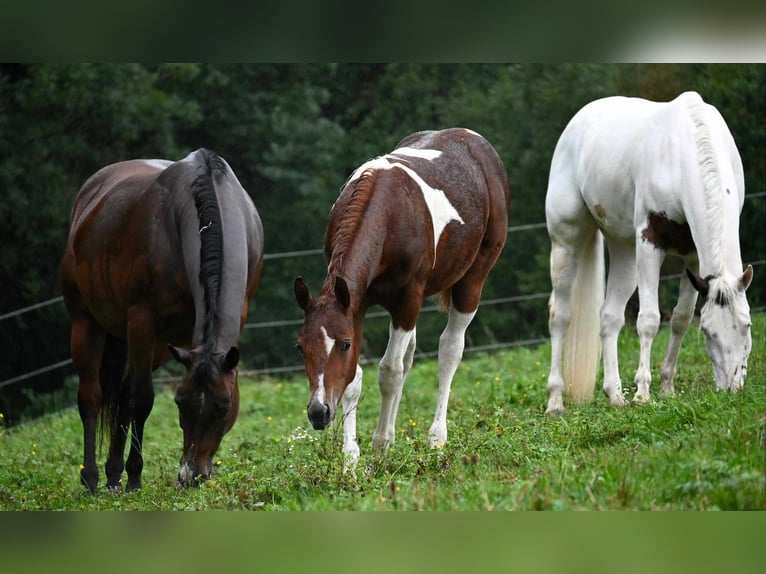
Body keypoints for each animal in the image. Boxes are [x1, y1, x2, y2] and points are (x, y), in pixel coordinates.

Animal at [60, 148, 264, 490]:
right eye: (180, 403)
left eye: (224, 406)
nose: (191, 474)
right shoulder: (142, 322)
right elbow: (142, 399)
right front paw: (135, 478)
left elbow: (131, 399)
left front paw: (126, 474)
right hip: (87, 325)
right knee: (91, 396)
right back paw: (92, 477)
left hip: (153, 346)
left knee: (122, 396)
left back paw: (113, 474)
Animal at [294, 127, 510, 468]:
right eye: (300, 346)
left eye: (343, 344)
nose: (319, 412)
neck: (389, 213)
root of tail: (475, 140)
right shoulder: (355, 304)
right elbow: (355, 377)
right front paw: (350, 459)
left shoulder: (407, 301)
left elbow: (389, 371)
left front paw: (380, 447)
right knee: (409, 356)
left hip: (472, 280)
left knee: (449, 349)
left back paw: (437, 438)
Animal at [544, 91, 756, 414]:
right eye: (708, 332)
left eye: (747, 325)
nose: (732, 388)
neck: (683, 151)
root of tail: (577, 123)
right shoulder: (650, 242)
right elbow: (649, 320)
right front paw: (643, 392)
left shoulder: (693, 258)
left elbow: (681, 319)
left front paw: (667, 387)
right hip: (567, 242)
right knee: (560, 314)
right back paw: (555, 401)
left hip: (624, 252)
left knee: (609, 316)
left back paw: (615, 395)